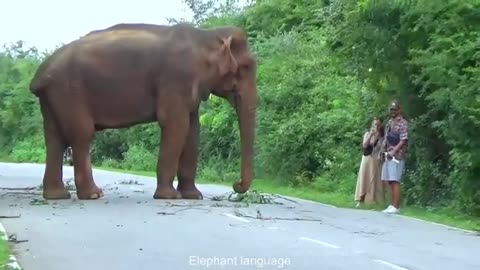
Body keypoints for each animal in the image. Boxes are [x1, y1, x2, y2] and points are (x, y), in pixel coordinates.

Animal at [28, 22, 256, 200]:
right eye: (246, 67)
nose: (236, 185)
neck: (205, 35)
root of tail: (38, 76)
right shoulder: (175, 79)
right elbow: (176, 125)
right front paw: (169, 197)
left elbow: (193, 129)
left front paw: (193, 196)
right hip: (69, 92)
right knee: (81, 135)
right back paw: (93, 195)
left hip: (53, 97)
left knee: (55, 140)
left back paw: (58, 196)